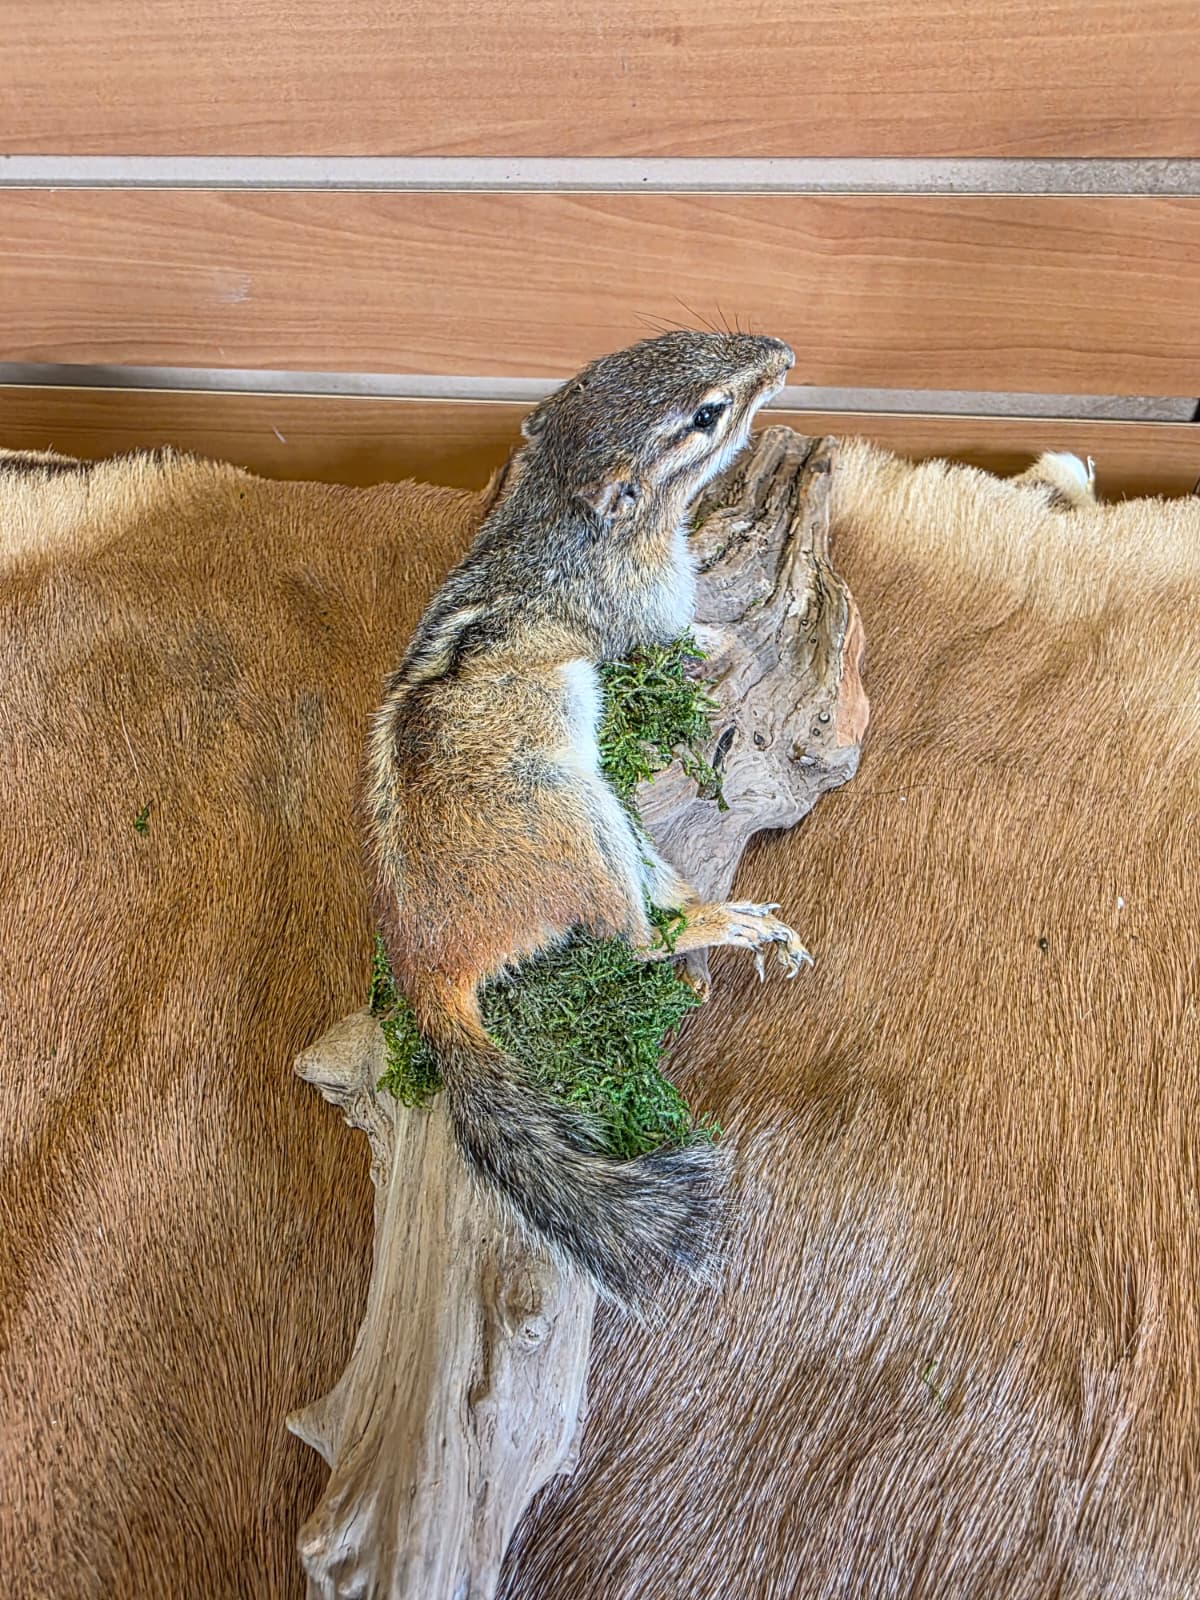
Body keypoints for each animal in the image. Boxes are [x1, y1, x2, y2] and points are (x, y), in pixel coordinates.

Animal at [366, 329, 811, 1307]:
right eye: (707, 415)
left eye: (656, 342)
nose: (783, 355)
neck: (553, 514)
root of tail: (427, 966)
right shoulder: (652, 609)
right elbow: (692, 639)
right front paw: (724, 638)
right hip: (580, 821)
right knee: (636, 940)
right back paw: (717, 924)